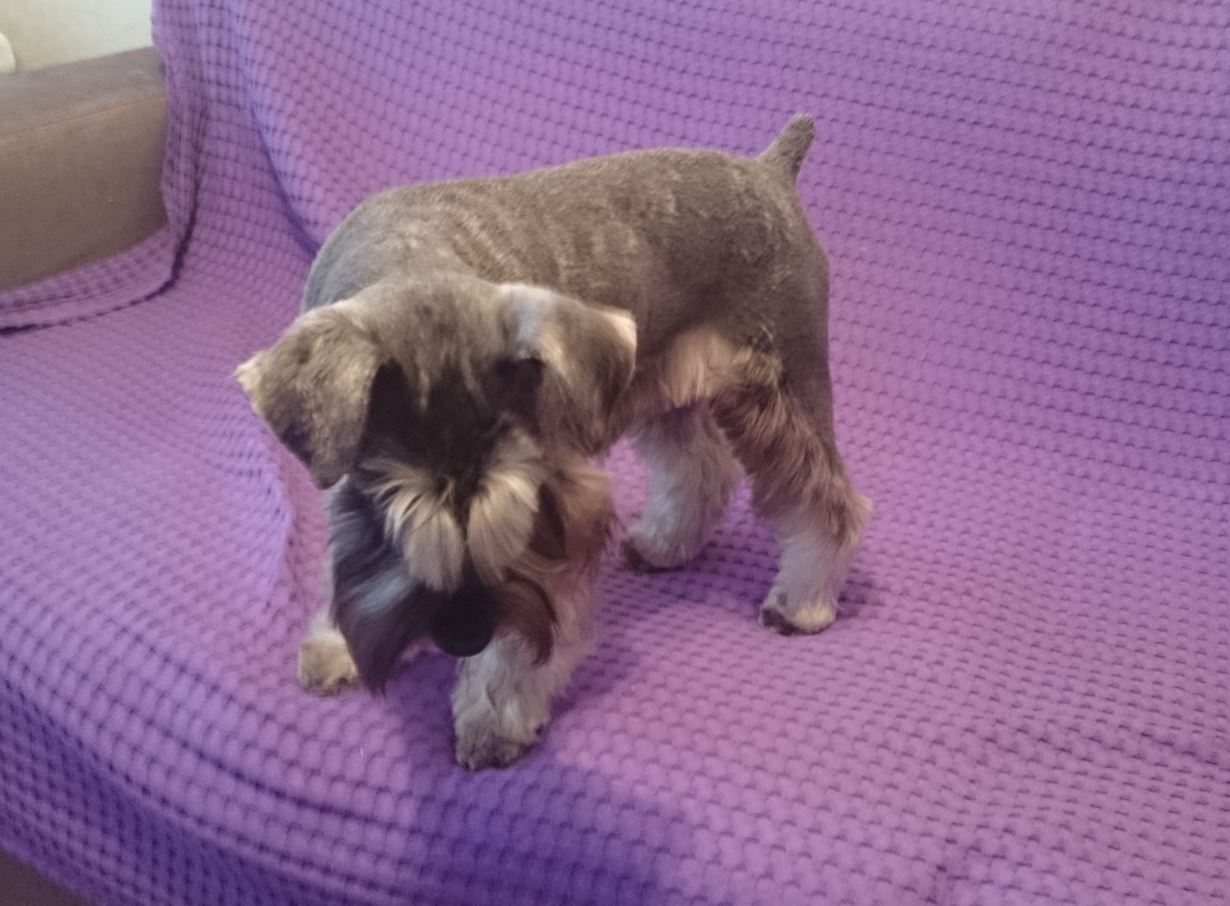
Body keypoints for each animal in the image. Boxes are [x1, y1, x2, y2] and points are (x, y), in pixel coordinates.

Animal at [236, 114, 870, 770]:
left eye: (526, 509)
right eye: (393, 517)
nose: (465, 634)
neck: (411, 263)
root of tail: (771, 168)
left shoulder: (556, 525)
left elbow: (529, 632)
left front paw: (494, 719)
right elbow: (341, 559)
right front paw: (335, 641)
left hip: (783, 388)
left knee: (826, 499)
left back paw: (804, 601)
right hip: (668, 387)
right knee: (700, 468)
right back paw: (667, 545)